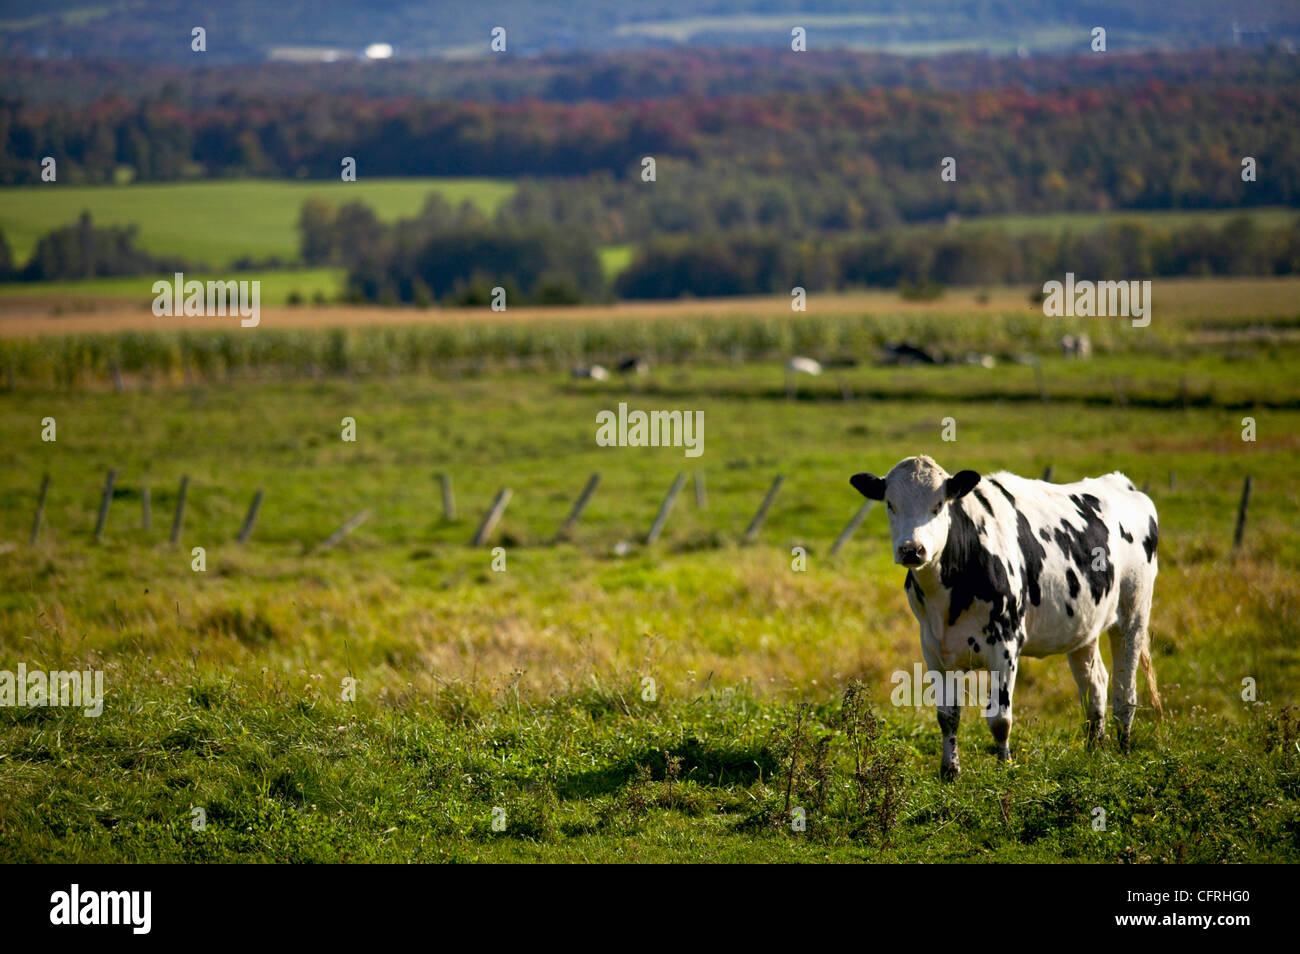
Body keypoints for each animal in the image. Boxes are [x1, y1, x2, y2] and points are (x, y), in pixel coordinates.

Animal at [847, 454, 1164, 779]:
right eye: (890, 504)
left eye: (939, 505)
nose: (912, 550)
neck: (948, 598)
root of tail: (1121, 483)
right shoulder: (935, 650)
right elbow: (947, 716)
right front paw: (950, 771)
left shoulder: (1005, 646)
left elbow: (999, 718)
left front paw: (1004, 767)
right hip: (1084, 625)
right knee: (1095, 685)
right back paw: (1096, 750)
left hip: (1134, 614)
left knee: (1125, 690)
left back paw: (1123, 749)